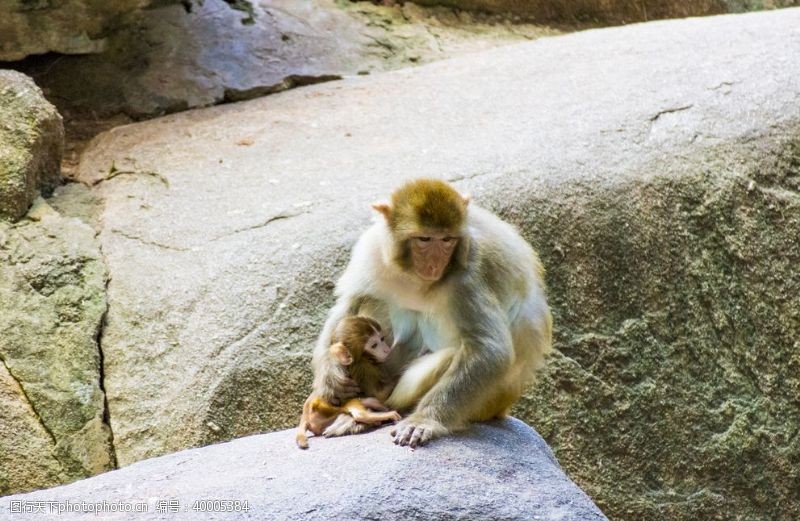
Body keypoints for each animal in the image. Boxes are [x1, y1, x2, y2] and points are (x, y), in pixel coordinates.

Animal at [296, 314, 400, 448]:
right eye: (374, 345)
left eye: (382, 339)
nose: (387, 350)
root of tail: (306, 415)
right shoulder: (363, 367)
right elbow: (380, 393)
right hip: (323, 407)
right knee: (359, 405)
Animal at [310, 179, 552, 446]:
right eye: (424, 239)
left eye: (447, 240)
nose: (435, 264)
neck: (414, 275)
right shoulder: (372, 249)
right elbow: (347, 304)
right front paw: (329, 375)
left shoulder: (469, 274)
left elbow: (490, 350)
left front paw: (423, 420)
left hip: (486, 405)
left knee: (452, 355)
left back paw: (379, 409)